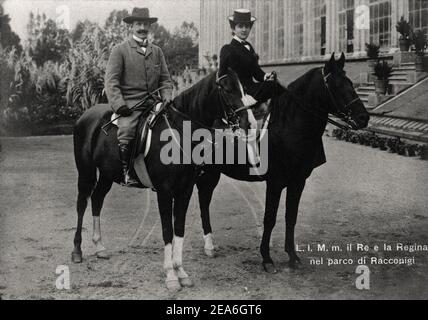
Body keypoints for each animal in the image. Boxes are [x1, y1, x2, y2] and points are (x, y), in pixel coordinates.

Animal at [72, 69, 247, 292]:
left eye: (242, 87)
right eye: (226, 89)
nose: (246, 121)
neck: (180, 132)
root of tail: (86, 115)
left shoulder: (185, 191)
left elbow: (178, 229)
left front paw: (181, 272)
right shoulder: (164, 192)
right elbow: (167, 231)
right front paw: (171, 276)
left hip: (107, 174)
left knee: (97, 200)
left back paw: (99, 246)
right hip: (85, 172)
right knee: (82, 204)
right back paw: (77, 251)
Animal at [196, 52, 370, 272]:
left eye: (350, 83)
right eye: (337, 85)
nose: (364, 117)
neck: (289, 126)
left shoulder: (298, 181)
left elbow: (291, 217)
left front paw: (292, 256)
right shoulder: (275, 182)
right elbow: (270, 218)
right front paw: (266, 258)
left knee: (204, 200)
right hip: (206, 172)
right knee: (201, 201)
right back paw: (207, 245)